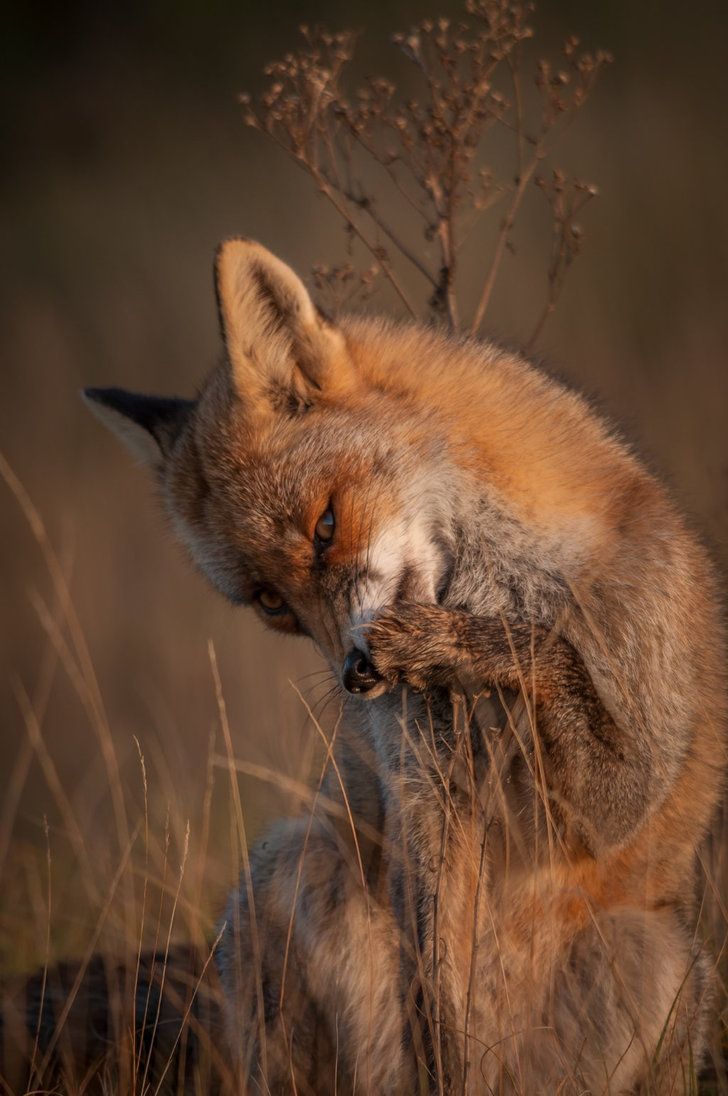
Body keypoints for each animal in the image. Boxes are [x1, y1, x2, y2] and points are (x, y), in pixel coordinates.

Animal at [66, 235, 723, 1091]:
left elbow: (548, 655)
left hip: (658, 954)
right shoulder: (428, 793)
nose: (356, 675)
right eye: (271, 603)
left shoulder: (620, 786)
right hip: (292, 862)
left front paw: (460, 641)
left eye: (326, 527)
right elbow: (437, 1016)